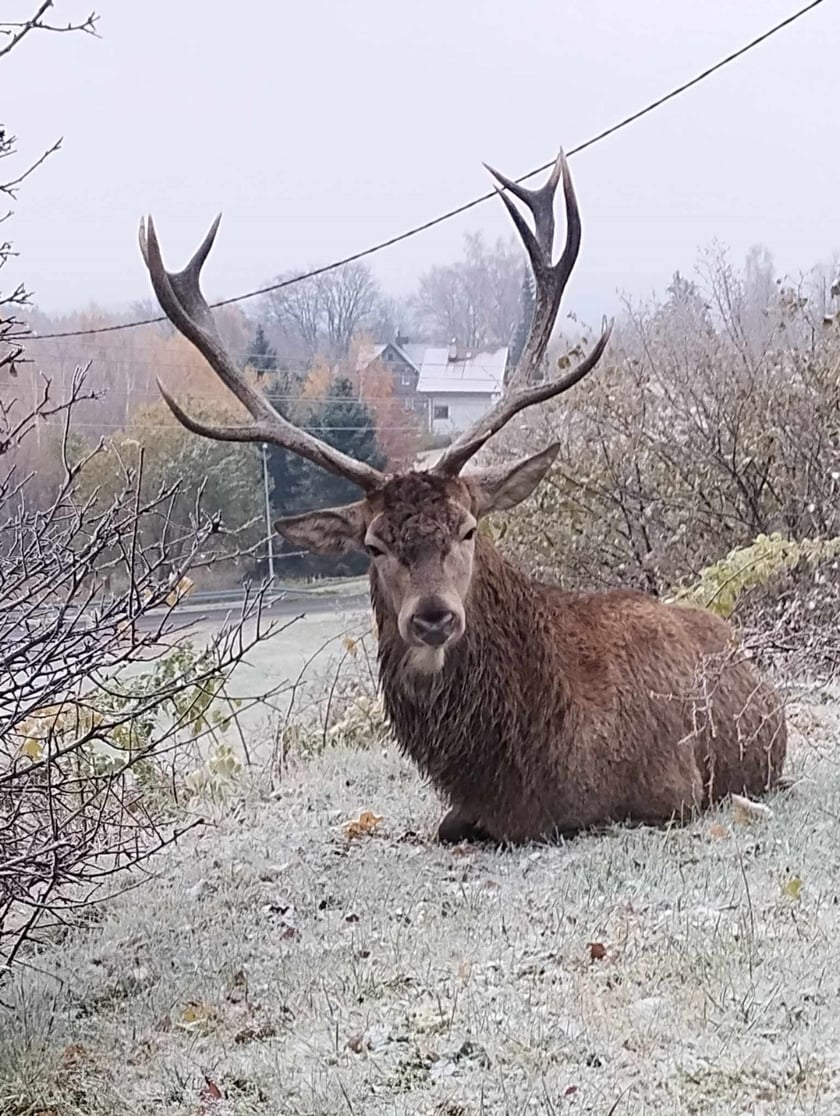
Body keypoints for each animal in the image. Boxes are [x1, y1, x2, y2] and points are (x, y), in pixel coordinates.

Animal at [137, 150, 785, 843]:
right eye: (373, 545)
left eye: (469, 528)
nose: (433, 616)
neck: (521, 772)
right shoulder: (459, 814)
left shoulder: (675, 786)